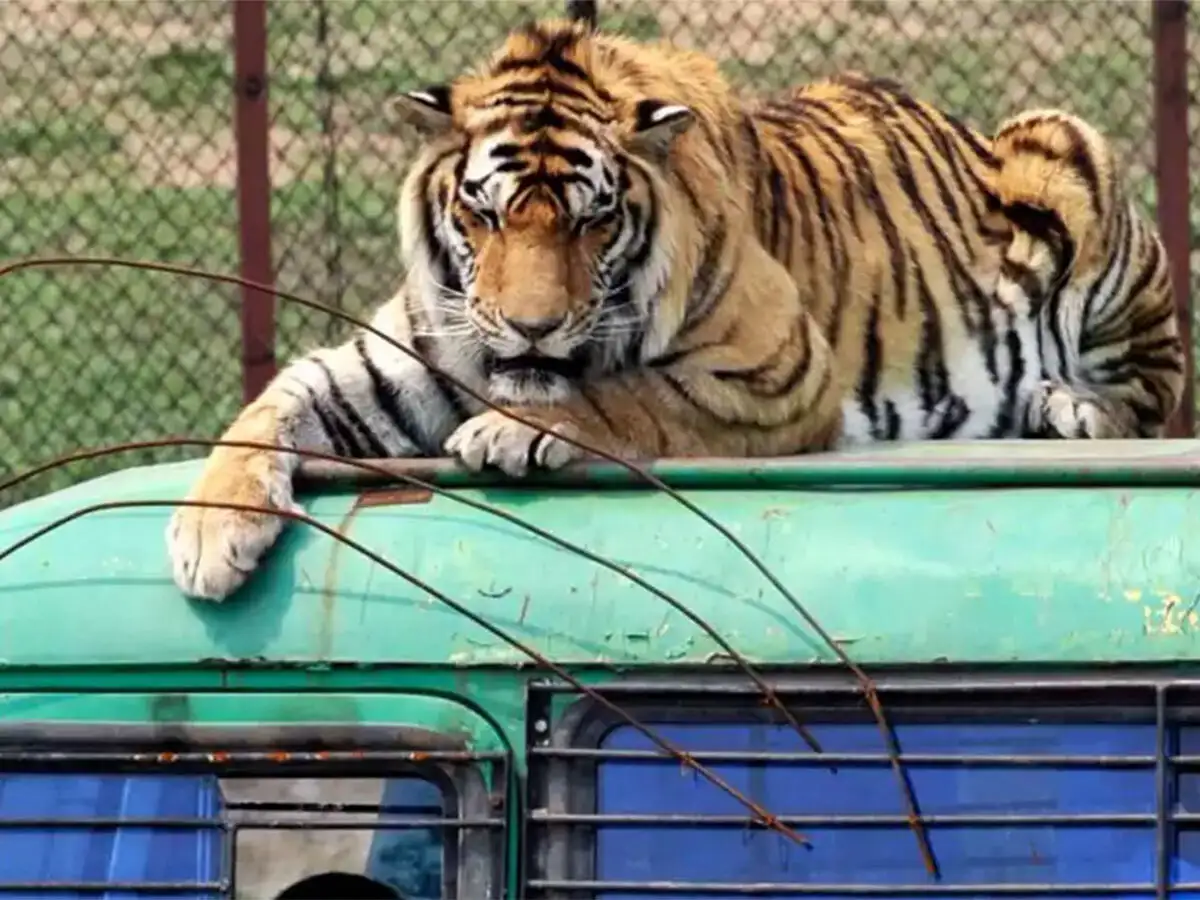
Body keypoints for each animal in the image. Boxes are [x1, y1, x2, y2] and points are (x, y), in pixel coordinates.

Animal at [167, 17, 1184, 601]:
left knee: (1153, 387)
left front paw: (512, 427)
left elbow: (629, 397)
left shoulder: (775, 370)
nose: (532, 326)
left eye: (593, 219)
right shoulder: (388, 362)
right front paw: (210, 534)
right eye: (485, 215)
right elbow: (268, 407)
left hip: (1067, 152)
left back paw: (1069, 409)